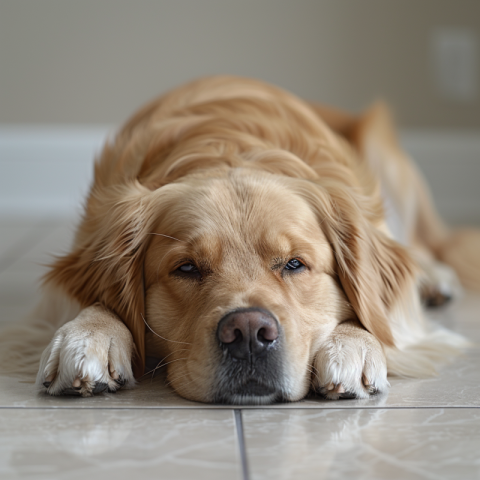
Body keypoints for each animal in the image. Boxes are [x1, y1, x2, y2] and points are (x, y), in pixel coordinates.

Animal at [4, 76, 480, 404]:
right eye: (186, 268)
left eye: (294, 264)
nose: (249, 333)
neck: (228, 145)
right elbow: (96, 301)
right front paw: (89, 334)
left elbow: (377, 317)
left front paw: (353, 346)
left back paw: (433, 279)